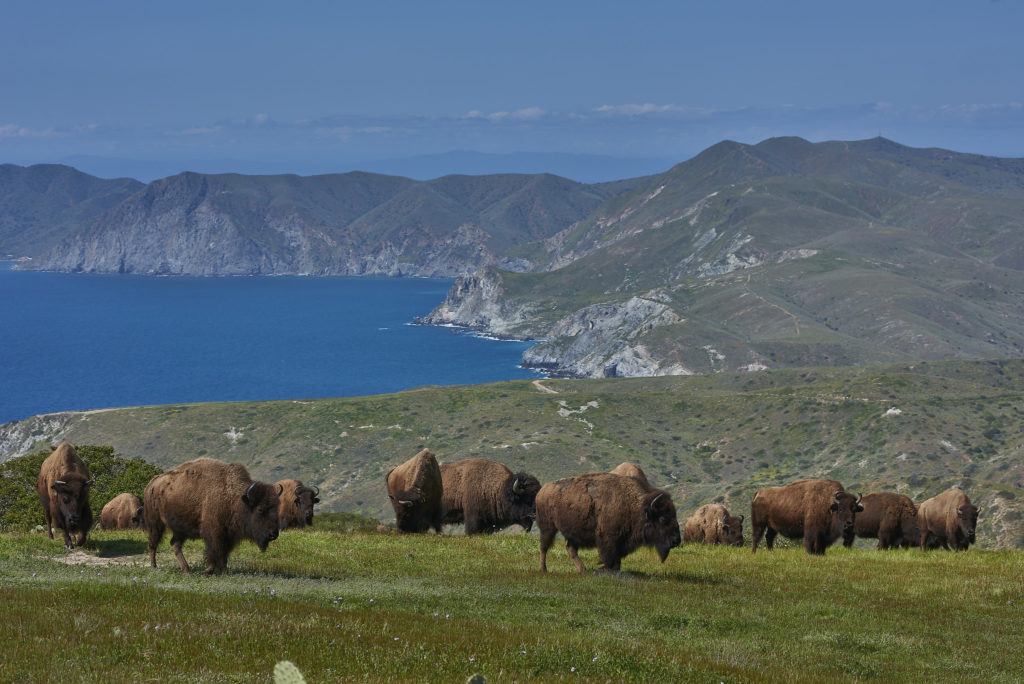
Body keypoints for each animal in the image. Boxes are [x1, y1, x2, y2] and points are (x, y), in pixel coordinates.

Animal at [144, 458, 281, 574]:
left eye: (276, 508)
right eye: (260, 509)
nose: (273, 534)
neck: (234, 498)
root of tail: (153, 482)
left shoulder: (228, 535)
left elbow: (223, 554)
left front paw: (219, 571)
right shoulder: (215, 533)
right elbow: (215, 552)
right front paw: (211, 571)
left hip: (180, 529)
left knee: (175, 544)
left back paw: (186, 570)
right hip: (155, 522)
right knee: (153, 543)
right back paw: (154, 566)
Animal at [536, 472, 681, 573]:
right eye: (663, 519)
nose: (676, 540)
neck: (634, 505)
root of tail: (543, 489)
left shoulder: (621, 542)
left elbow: (617, 559)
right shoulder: (609, 539)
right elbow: (610, 557)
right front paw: (604, 569)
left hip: (574, 533)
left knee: (570, 549)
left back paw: (583, 570)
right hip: (548, 527)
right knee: (544, 547)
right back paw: (544, 569)